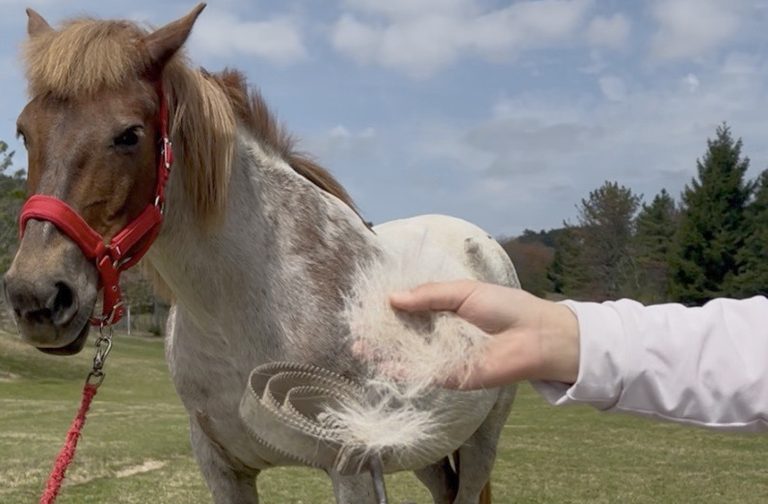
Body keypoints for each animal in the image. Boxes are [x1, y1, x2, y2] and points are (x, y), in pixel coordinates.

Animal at [4, 5, 519, 503]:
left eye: (129, 134)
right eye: (25, 131)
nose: (36, 297)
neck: (240, 311)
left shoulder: (352, 469)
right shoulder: (221, 467)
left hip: (480, 442)